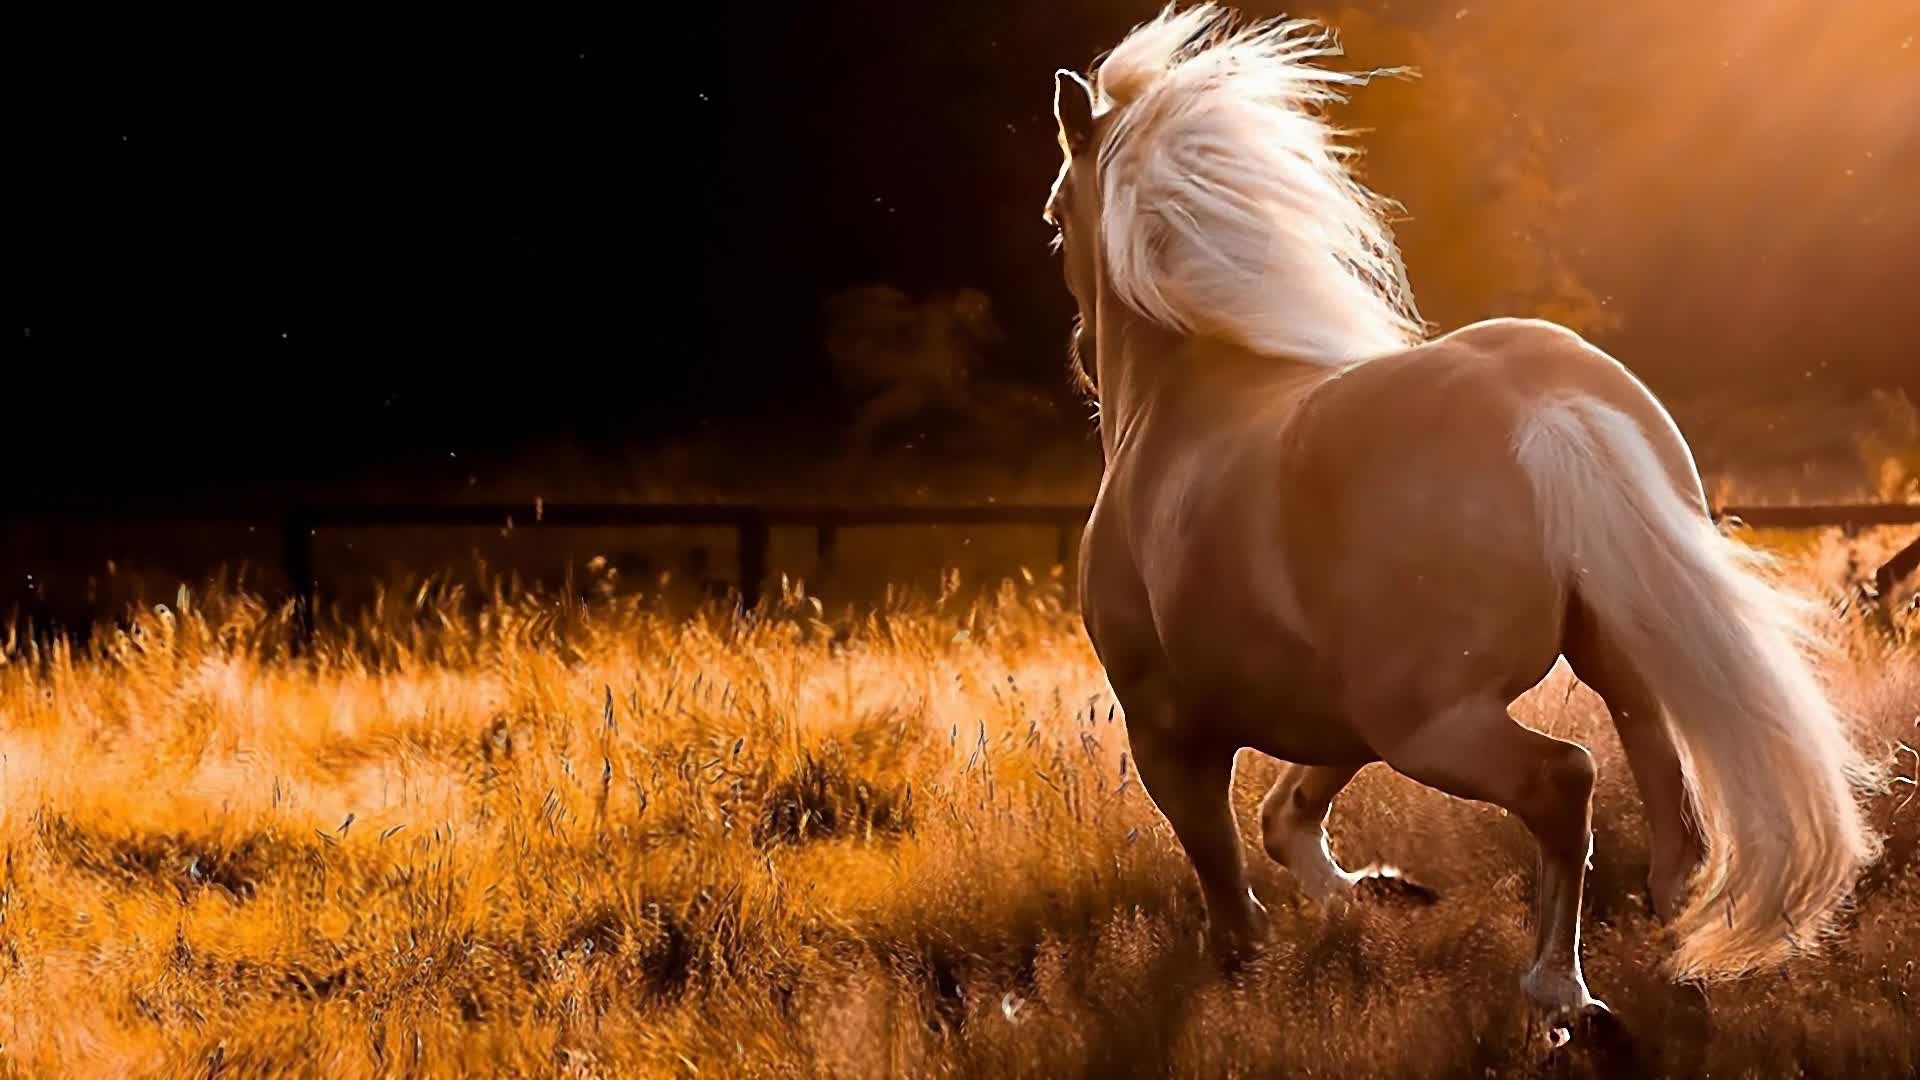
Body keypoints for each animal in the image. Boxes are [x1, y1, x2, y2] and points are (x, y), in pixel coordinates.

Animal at [1043, 4, 1879, 1023]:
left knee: (1565, 780)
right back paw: (1671, 936)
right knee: (1662, 782)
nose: (1078, 358)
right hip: (1588, 662)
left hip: (1435, 726)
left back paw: (1563, 994)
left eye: (1055, 216)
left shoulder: (1169, 731)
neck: (1176, 403)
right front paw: (1375, 894)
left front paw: (1250, 968)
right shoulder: (1337, 714)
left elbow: (1225, 875)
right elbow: (1286, 818)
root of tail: (1539, 403)